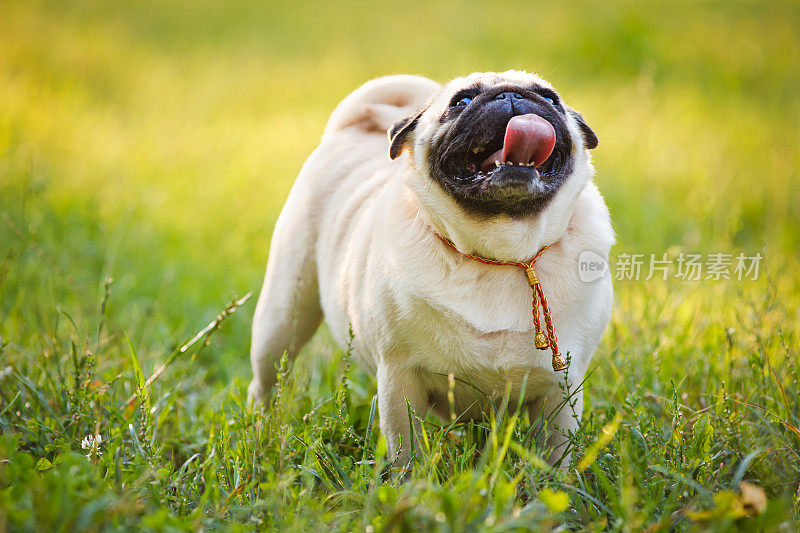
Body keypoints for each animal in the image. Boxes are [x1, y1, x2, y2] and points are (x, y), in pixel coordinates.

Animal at [250, 69, 612, 466]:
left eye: (549, 99)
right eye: (462, 101)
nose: (511, 95)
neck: (499, 253)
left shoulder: (560, 391)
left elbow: (555, 455)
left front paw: (553, 480)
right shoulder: (400, 379)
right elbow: (406, 450)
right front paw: (409, 481)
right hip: (283, 315)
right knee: (267, 380)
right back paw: (262, 434)